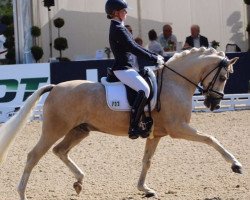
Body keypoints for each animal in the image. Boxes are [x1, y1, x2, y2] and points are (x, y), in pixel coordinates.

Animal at [0, 47, 242, 198]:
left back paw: (79, 181)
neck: (175, 82)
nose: (214, 104)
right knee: (33, 156)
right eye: (223, 77)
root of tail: (55, 87)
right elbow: (211, 139)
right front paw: (235, 164)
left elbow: (146, 161)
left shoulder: (156, 134)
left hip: (79, 130)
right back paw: (22, 193)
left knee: (60, 151)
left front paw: (144, 188)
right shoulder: (178, 128)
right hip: (54, 129)